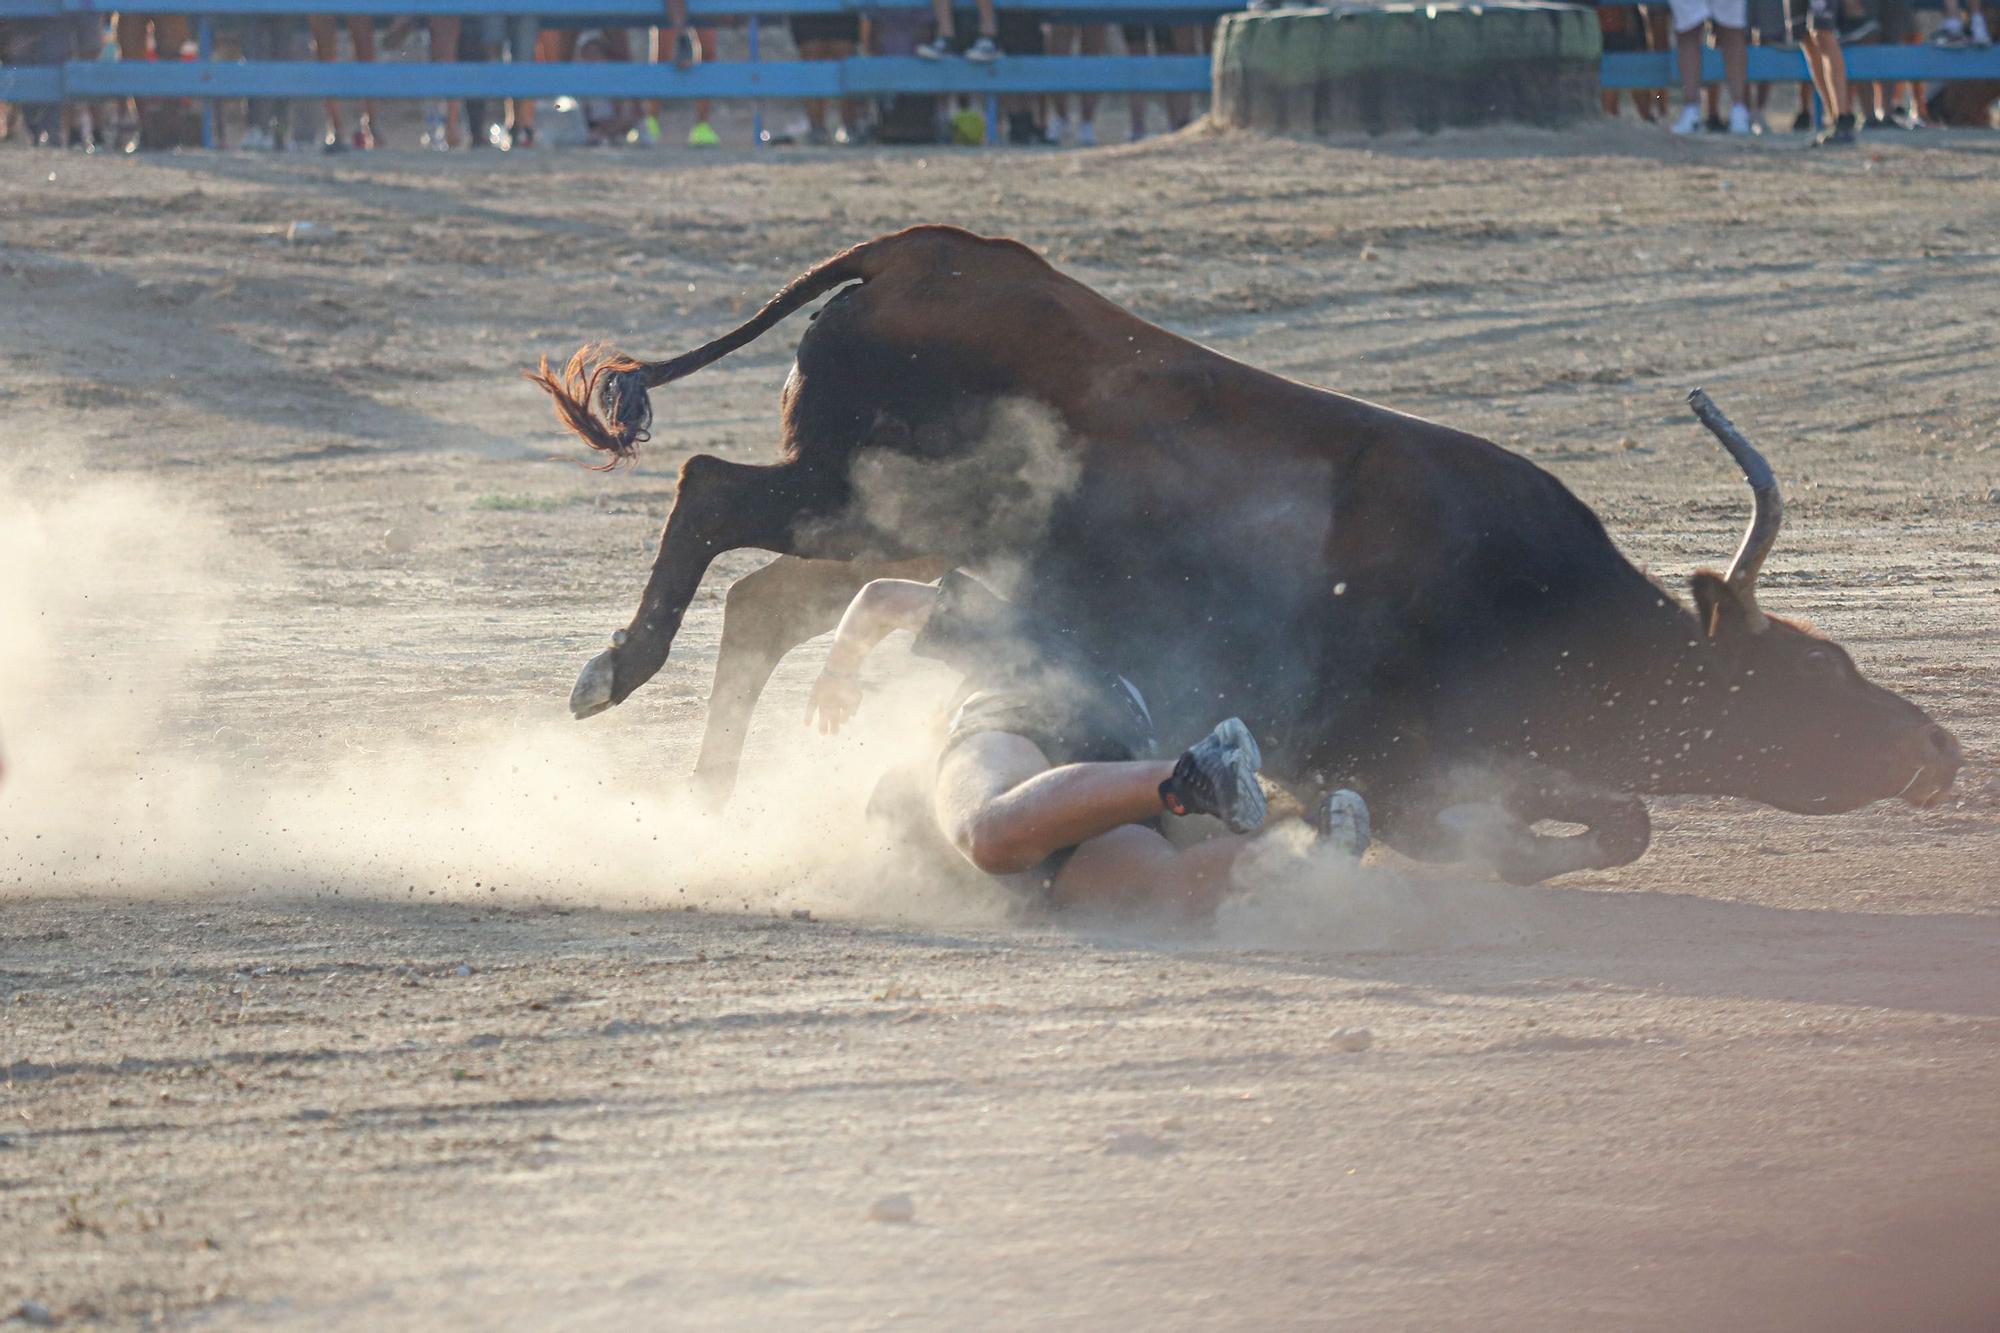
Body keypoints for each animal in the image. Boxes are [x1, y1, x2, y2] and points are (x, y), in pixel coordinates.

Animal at [528, 223, 1952, 876]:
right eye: (1819, 673)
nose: (1937, 745)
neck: (1533, 603)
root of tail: (927, 251)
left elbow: (1620, 818)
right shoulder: (1388, 742)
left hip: (880, 522)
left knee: (768, 597)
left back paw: (713, 796)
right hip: (863, 499)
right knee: (711, 495)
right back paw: (616, 674)